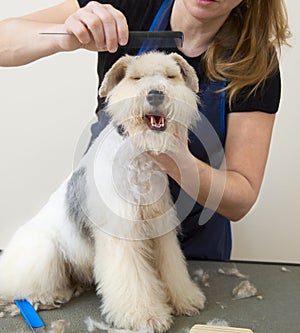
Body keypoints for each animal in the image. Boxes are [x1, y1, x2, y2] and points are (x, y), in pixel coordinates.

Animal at [0, 52, 206, 332]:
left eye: (170, 76)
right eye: (135, 78)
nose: (155, 95)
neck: (140, 158)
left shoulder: (160, 228)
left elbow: (172, 269)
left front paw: (185, 299)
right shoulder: (123, 234)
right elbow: (133, 279)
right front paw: (145, 316)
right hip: (44, 250)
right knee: (21, 288)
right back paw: (49, 296)